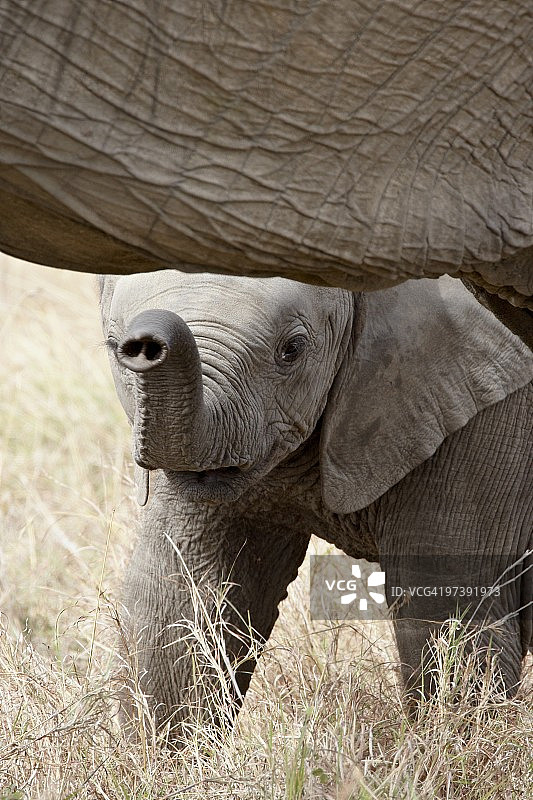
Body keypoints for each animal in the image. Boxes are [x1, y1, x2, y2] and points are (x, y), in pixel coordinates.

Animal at [99, 269, 532, 739]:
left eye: (292, 349)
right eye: (113, 345)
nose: (144, 344)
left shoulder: (483, 417)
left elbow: (448, 607)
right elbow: (178, 596)